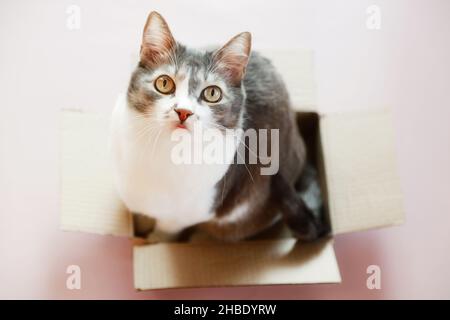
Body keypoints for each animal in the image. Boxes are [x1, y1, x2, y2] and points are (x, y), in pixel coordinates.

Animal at [109, 11, 326, 242]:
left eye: (212, 93)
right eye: (164, 83)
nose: (183, 111)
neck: (162, 151)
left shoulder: (183, 216)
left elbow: (164, 232)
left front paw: (149, 241)